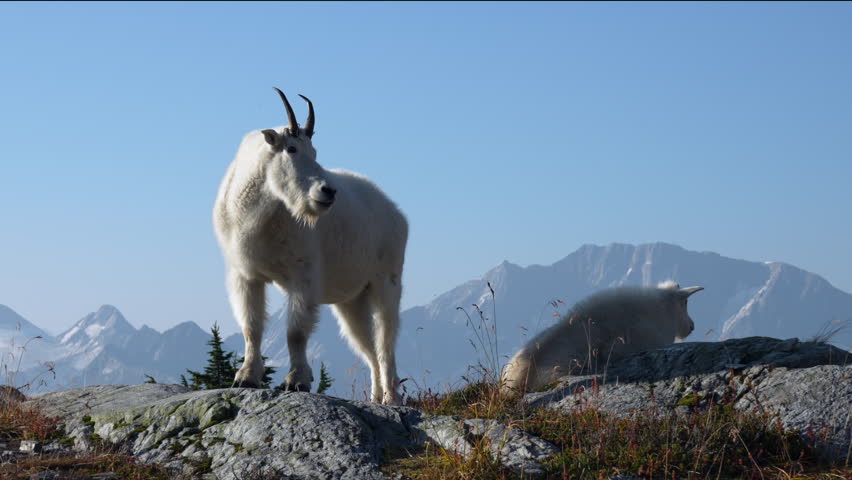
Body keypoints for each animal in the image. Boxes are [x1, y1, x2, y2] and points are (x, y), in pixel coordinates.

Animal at [213, 88, 408, 404]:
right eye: (291, 149)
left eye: (314, 152)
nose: (328, 191)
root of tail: (397, 214)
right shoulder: (245, 275)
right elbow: (251, 327)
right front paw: (245, 378)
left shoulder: (302, 274)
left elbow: (295, 332)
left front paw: (297, 382)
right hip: (351, 301)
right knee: (367, 347)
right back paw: (375, 398)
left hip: (386, 283)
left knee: (385, 342)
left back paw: (391, 399)